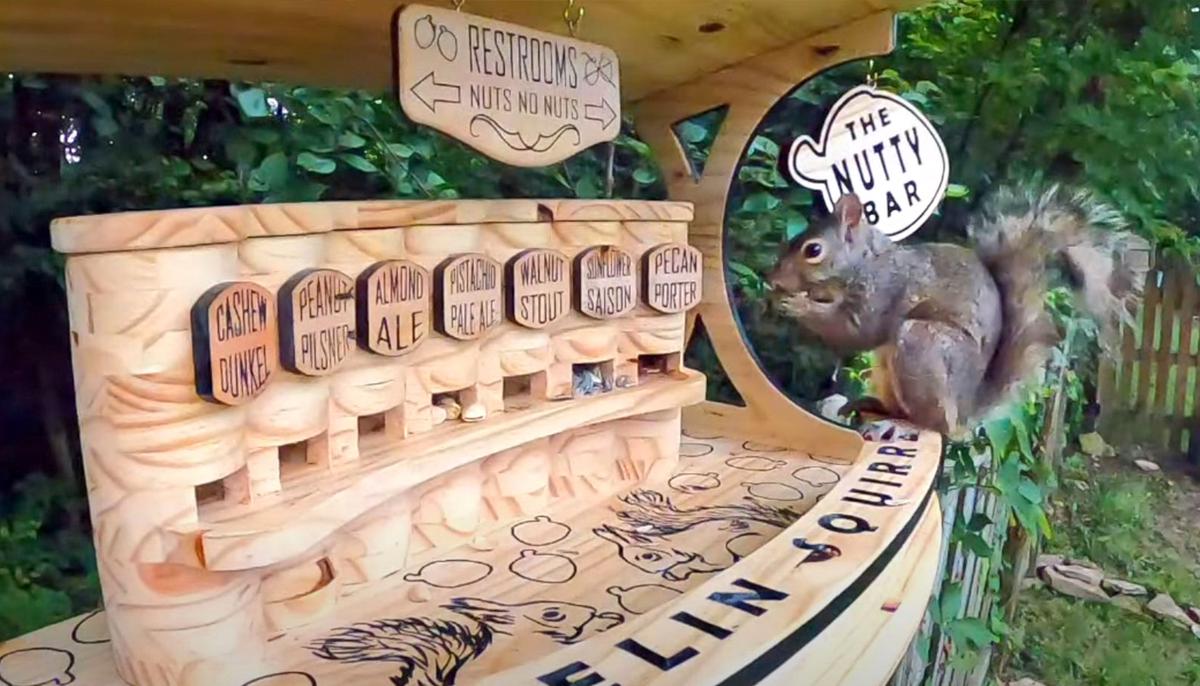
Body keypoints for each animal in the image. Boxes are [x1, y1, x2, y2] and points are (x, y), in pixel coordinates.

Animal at [767, 185, 1150, 438]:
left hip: (922, 346)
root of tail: (965, 411)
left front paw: (794, 303)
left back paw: (902, 422)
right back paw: (873, 405)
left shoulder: (886, 291)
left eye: (813, 250)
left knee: (936, 426)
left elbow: (856, 331)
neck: (868, 262)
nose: (772, 278)